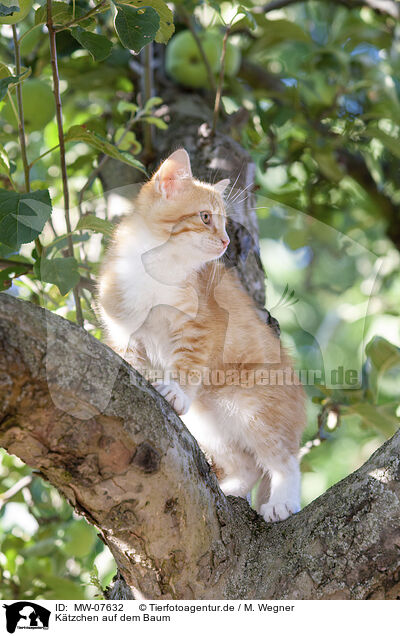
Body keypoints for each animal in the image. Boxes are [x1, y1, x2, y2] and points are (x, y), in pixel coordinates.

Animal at [98, 148, 304, 520]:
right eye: (206, 217)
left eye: (224, 223)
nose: (225, 241)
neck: (157, 268)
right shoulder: (122, 328)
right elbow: (131, 357)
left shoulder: (203, 326)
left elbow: (189, 361)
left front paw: (176, 390)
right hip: (210, 423)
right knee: (247, 465)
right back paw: (232, 490)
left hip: (256, 408)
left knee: (283, 459)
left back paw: (283, 499)